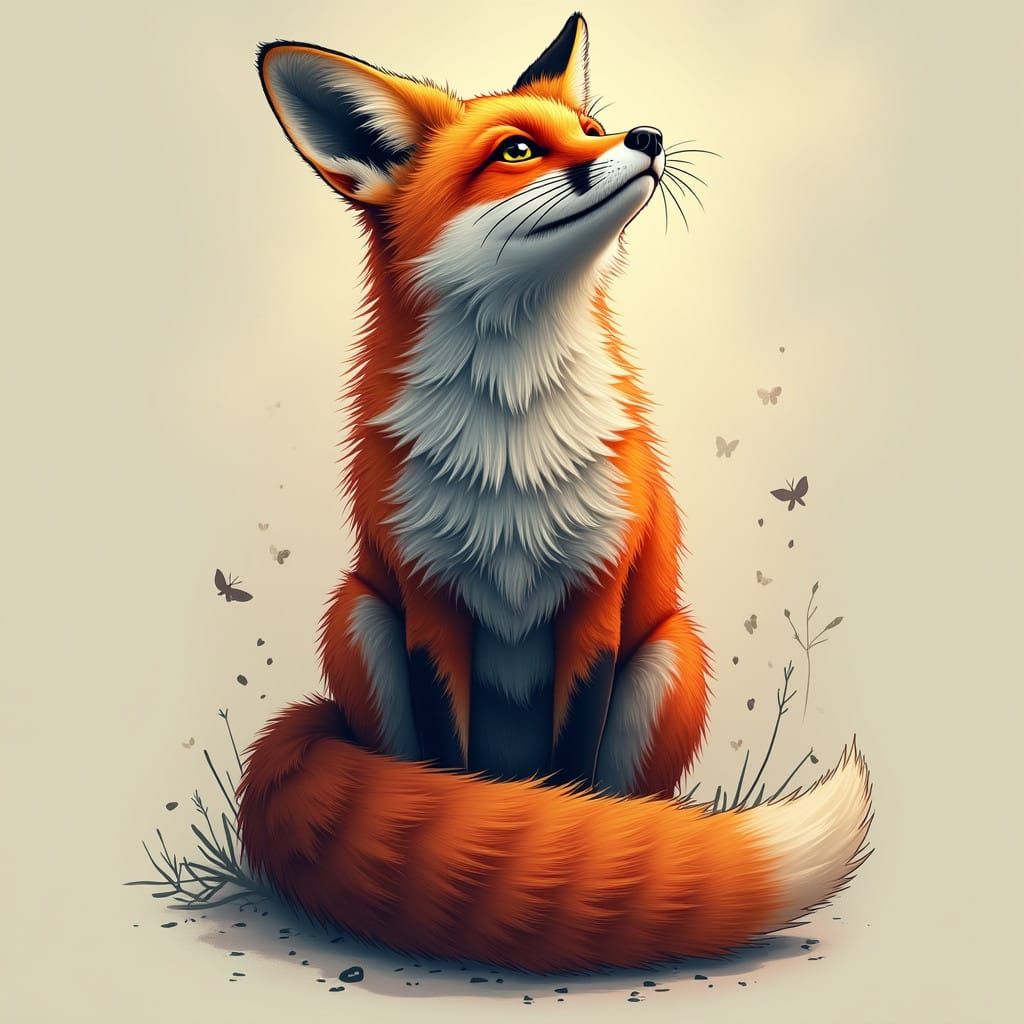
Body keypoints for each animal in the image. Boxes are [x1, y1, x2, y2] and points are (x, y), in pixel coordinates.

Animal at [237, 13, 873, 972]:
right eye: (517, 150)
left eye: (595, 127)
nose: (647, 136)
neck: (512, 449)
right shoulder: (430, 608)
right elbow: (448, 766)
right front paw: (499, 847)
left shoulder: (595, 601)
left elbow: (576, 779)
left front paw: (582, 855)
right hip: (358, 618)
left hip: (669, 657)